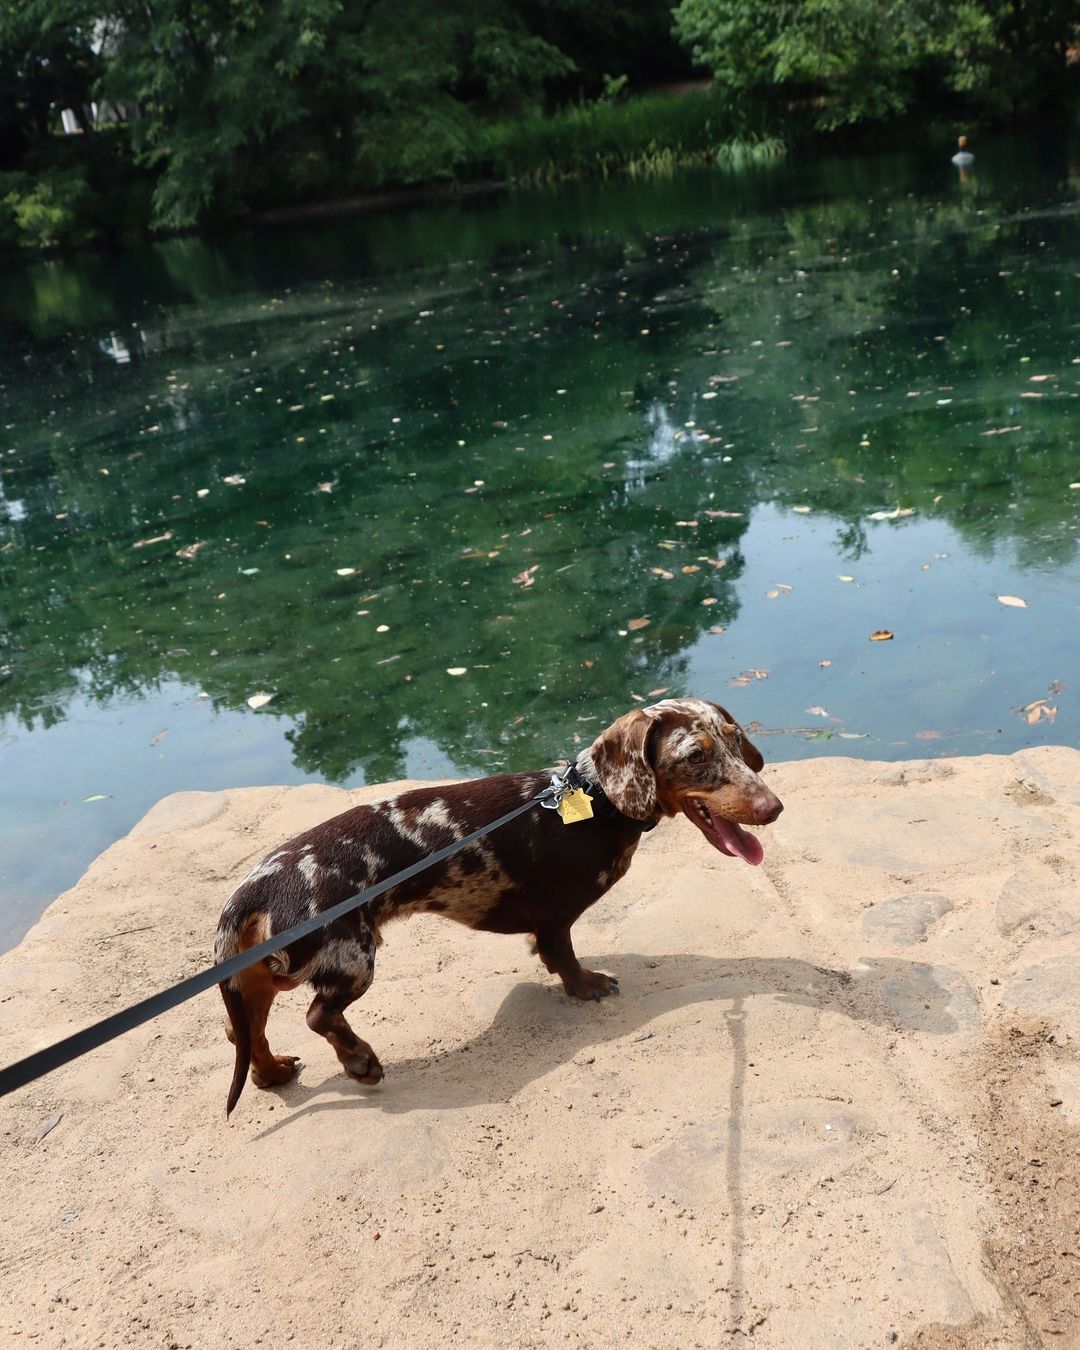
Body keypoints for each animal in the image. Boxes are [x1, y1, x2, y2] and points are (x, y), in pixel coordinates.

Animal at [214, 702, 783, 1112]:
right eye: (695, 756)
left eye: (735, 740)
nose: (773, 808)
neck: (594, 800)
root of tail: (256, 886)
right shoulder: (555, 915)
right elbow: (563, 957)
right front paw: (587, 986)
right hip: (350, 958)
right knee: (316, 1014)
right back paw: (359, 1061)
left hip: (267, 973)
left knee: (242, 1029)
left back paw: (272, 1072)